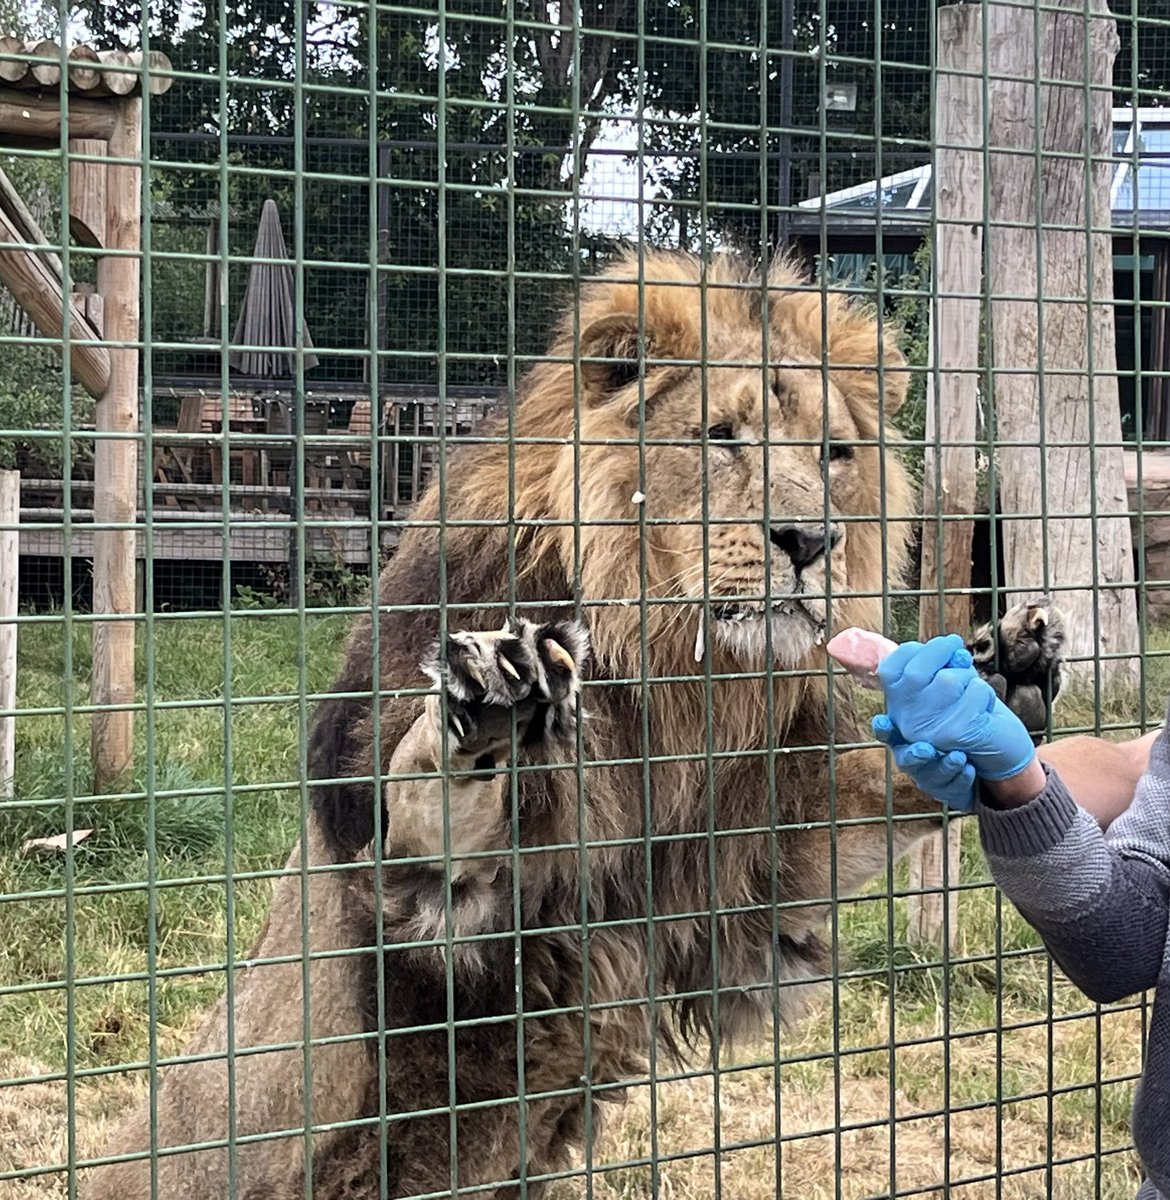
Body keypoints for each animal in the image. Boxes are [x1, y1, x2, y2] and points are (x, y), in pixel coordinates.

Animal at [80, 249, 1060, 1200]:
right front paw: (481, 716)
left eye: (834, 454)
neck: (677, 675)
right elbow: (424, 822)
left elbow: (860, 798)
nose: (811, 540)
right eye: (721, 439)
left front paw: (994, 681)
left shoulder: (747, 863)